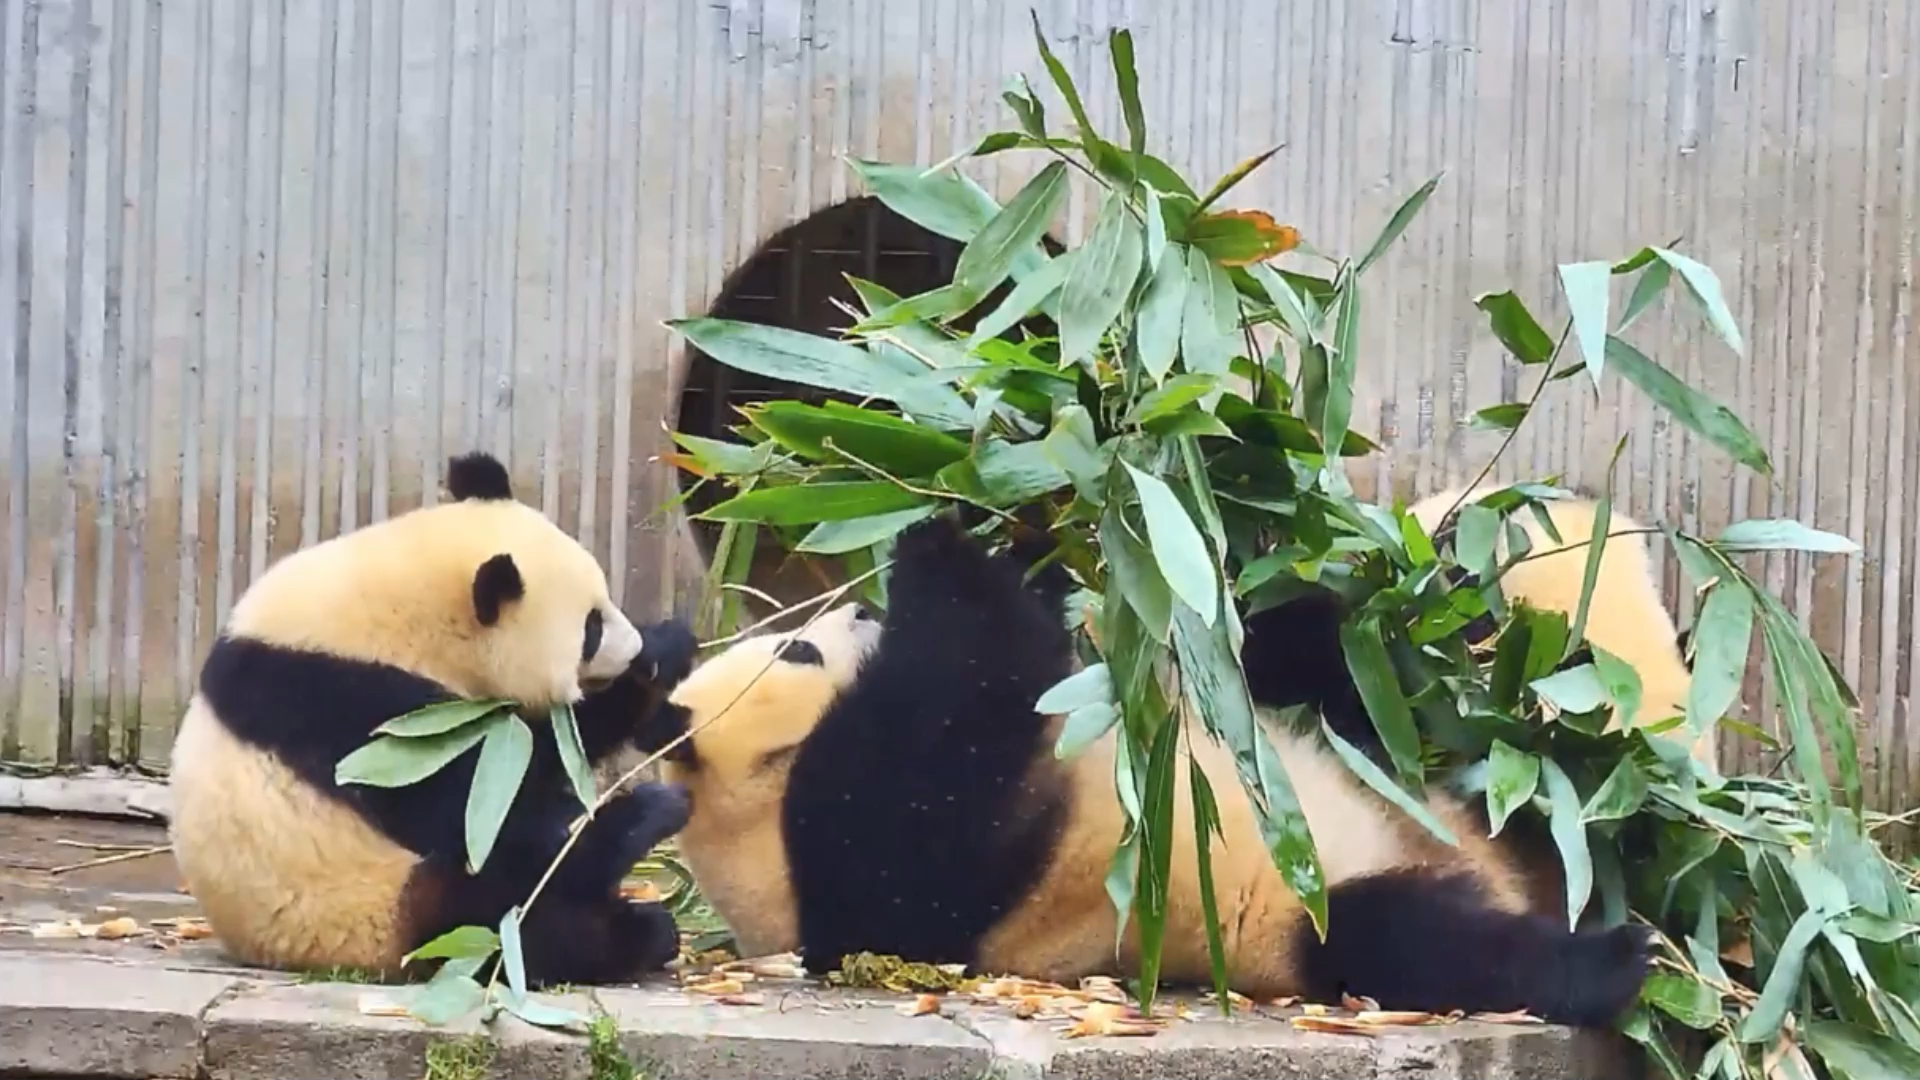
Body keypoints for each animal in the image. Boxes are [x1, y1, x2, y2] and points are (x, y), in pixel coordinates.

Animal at [167, 451, 698, 987]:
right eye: (590, 629)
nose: (632, 648)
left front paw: (665, 655)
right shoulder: (350, 707)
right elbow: (490, 798)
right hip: (375, 906)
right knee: (502, 906)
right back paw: (636, 913)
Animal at [635, 511, 1654, 1027]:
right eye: (796, 650)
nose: (849, 616)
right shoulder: (845, 873)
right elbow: (926, 792)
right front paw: (945, 548)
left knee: (1339, 684)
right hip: (1295, 914)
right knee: (1424, 943)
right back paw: (1610, 958)